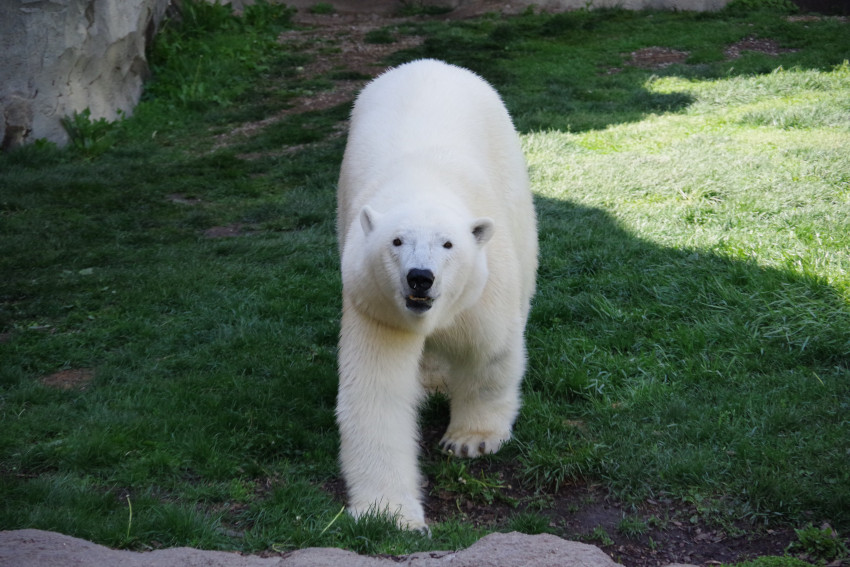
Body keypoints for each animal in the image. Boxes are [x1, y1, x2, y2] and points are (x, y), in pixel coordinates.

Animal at [334, 58, 532, 532]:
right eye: (396, 241)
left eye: (448, 244)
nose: (420, 279)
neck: (423, 181)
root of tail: (429, 63)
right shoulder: (375, 306)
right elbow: (376, 394)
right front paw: (389, 514)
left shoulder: (484, 286)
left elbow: (489, 352)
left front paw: (469, 441)